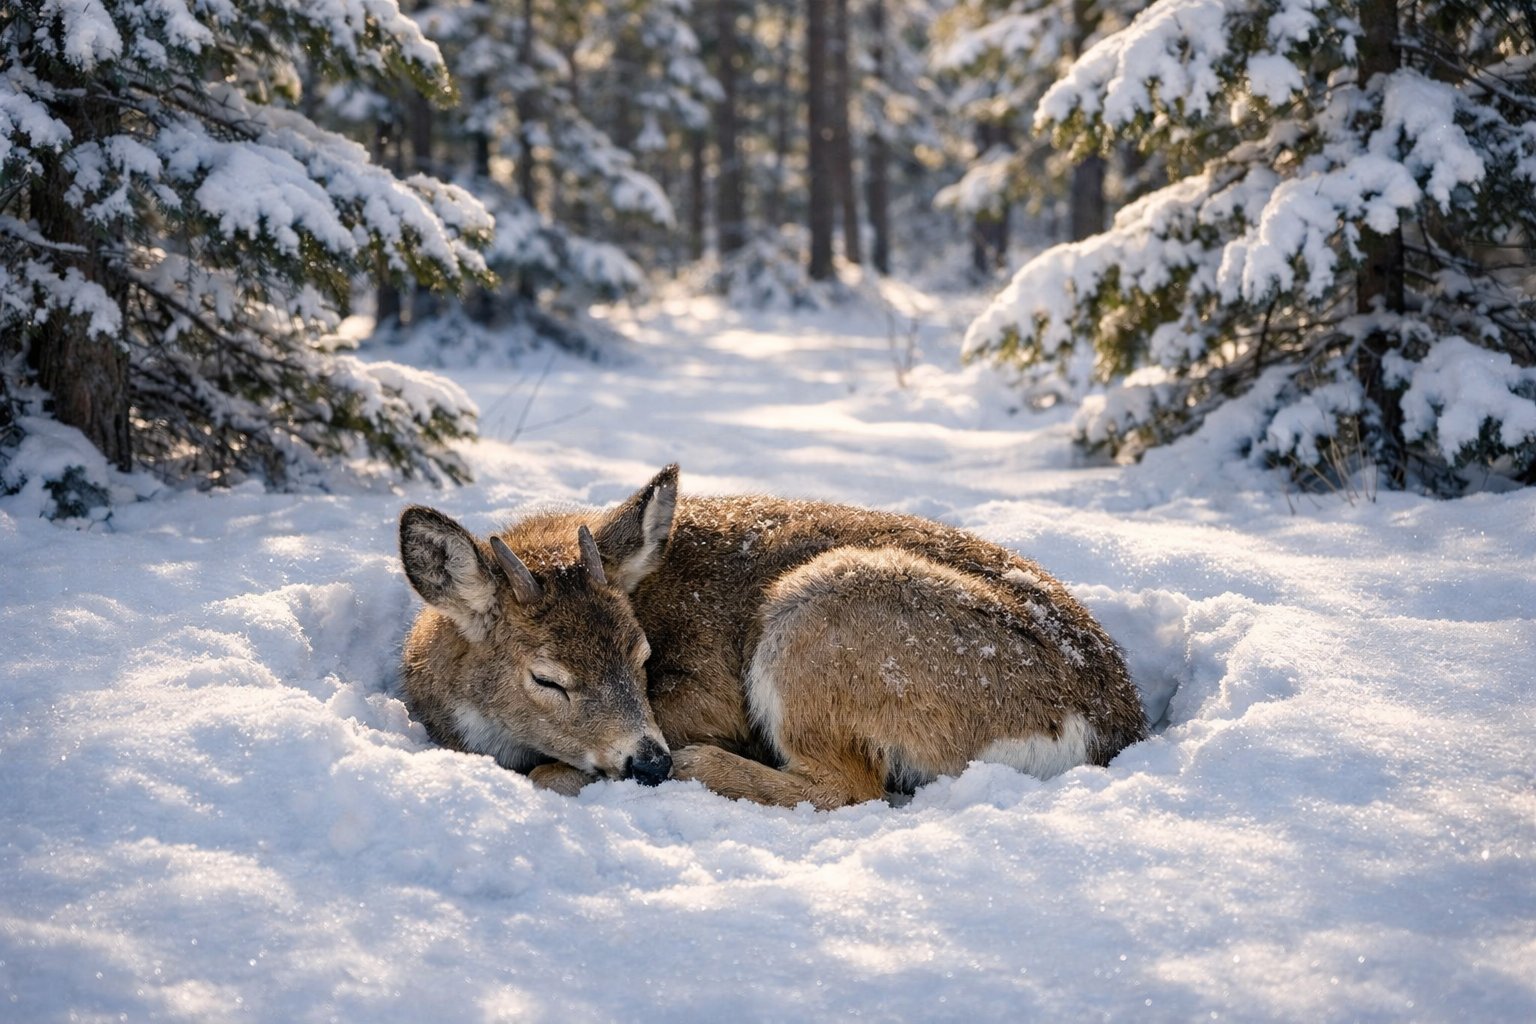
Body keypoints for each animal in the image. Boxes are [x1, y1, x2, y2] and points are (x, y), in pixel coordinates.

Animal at [398, 465, 1147, 809]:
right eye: (547, 676)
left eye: (643, 657)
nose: (648, 762)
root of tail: (1106, 724)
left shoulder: (714, 695)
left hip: (820, 615)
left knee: (852, 787)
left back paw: (699, 766)